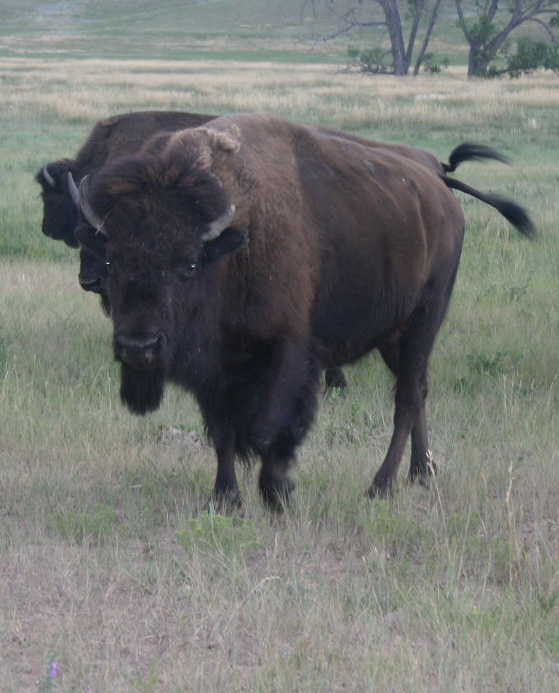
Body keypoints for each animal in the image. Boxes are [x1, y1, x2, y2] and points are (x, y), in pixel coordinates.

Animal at [75, 112, 533, 510]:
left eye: (188, 263)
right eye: (111, 259)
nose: (138, 346)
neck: (233, 248)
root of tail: (438, 189)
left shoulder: (289, 351)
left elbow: (269, 428)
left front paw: (279, 493)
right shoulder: (217, 369)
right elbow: (222, 432)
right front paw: (225, 500)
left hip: (427, 315)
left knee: (405, 399)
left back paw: (380, 486)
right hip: (394, 333)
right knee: (418, 389)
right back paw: (422, 473)